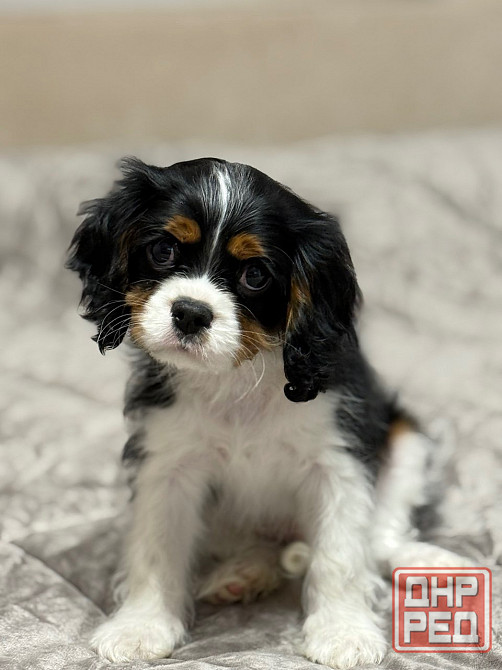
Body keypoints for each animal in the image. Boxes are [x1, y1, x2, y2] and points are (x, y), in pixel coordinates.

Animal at [67, 157, 467, 668]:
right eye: (162, 249)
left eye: (255, 275)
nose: (191, 312)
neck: (238, 378)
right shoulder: (167, 466)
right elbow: (156, 547)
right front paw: (142, 625)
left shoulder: (338, 462)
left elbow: (340, 554)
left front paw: (343, 631)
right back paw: (244, 574)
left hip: (407, 441)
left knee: (380, 541)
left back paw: (429, 563)